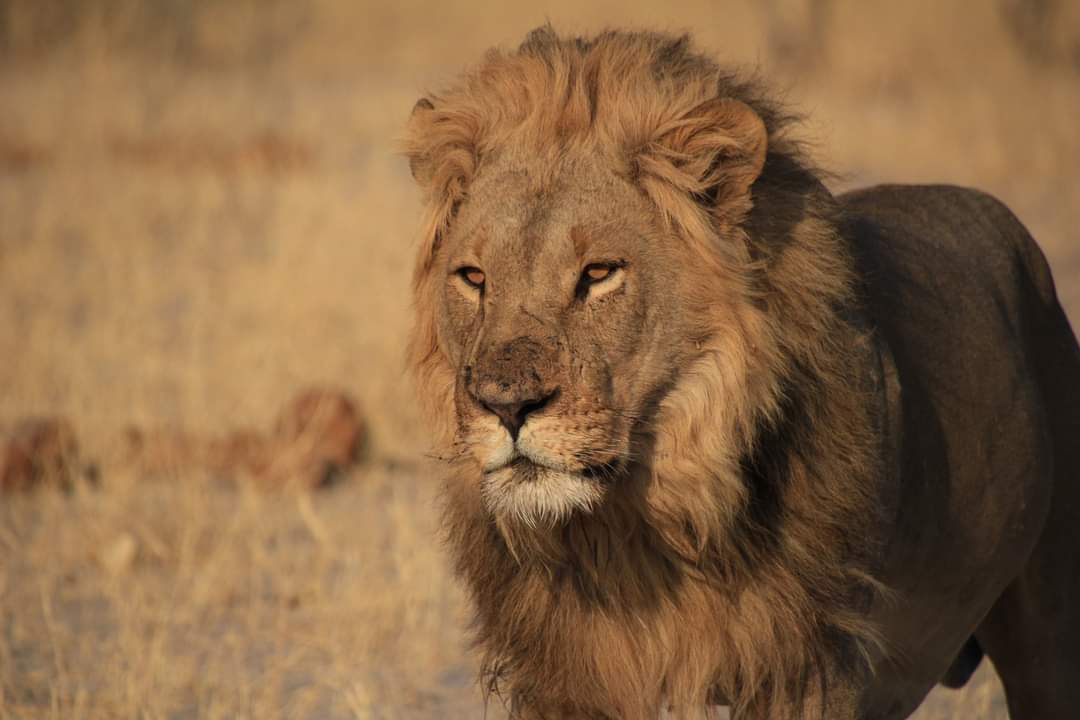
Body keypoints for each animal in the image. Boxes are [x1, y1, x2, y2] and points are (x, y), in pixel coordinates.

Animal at [402, 27, 1080, 719]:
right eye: (474, 278)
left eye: (599, 274)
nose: (506, 406)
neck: (642, 532)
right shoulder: (564, 679)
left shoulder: (809, 667)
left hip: (1052, 633)